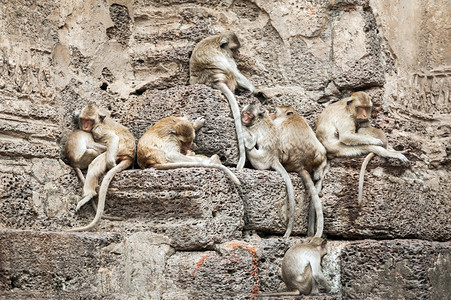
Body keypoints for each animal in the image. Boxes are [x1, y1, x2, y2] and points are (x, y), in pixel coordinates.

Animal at [66, 103, 136, 232]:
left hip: (117, 151)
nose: (85, 126)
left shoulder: (98, 130)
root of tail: (130, 156)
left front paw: (111, 164)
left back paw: (89, 194)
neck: (98, 121)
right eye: (83, 119)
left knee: (96, 162)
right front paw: (76, 113)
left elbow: (113, 138)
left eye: (90, 121)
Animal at [189, 32, 256, 171]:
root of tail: (213, 79)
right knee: (232, 72)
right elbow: (235, 71)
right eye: (234, 48)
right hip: (228, 78)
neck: (218, 39)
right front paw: (252, 89)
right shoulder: (227, 56)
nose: (238, 53)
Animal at [270, 105, 326, 239]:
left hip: (288, 161)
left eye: (275, 111)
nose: (270, 114)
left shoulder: (278, 125)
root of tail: (300, 166)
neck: (291, 116)